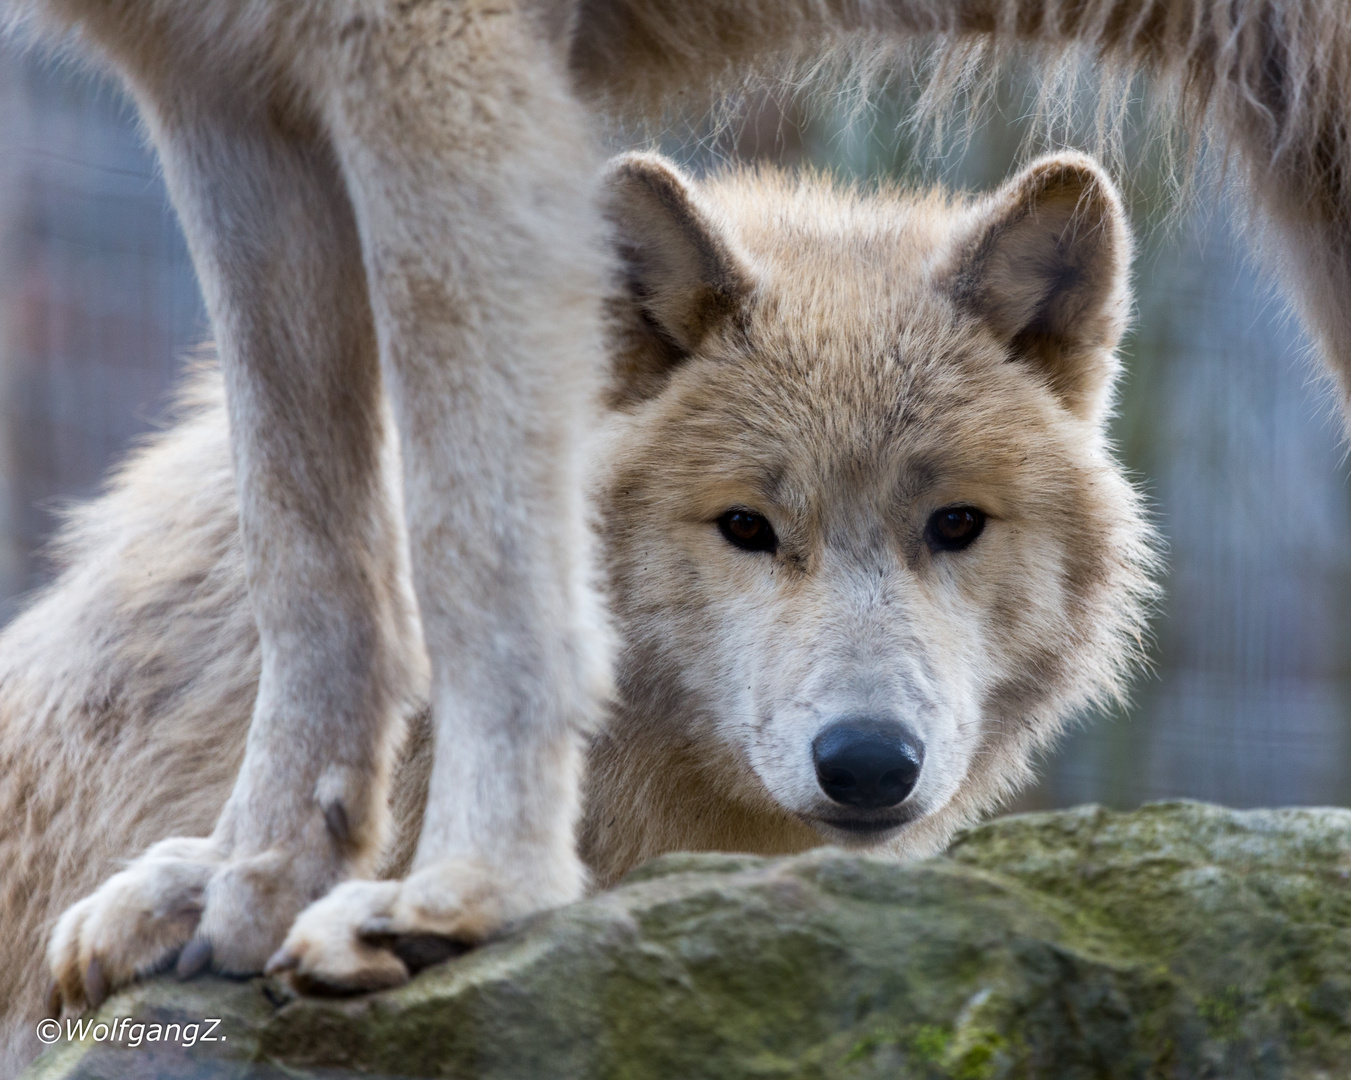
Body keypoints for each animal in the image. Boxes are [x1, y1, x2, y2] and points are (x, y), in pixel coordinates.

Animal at [7, 0, 1351, 1016]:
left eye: (955, 526)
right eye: (746, 528)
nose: (868, 764)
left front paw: (440, 893)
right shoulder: (239, 90)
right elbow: (329, 546)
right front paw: (246, 892)